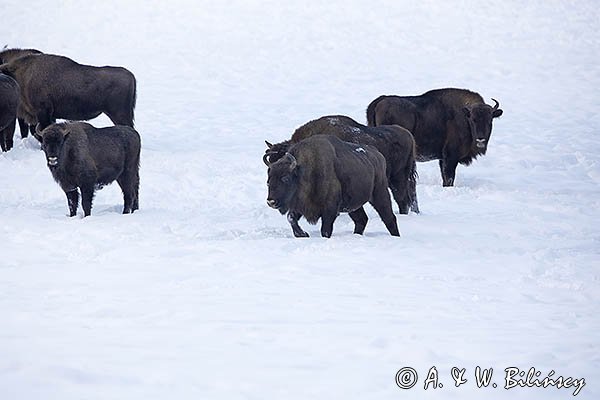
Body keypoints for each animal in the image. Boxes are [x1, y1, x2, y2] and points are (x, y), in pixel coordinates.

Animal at [265, 134, 400, 238]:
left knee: (389, 218)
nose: (271, 201)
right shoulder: (300, 206)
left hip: (379, 194)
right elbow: (291, 218)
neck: (304, 171)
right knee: (362, 219)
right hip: (353, 205)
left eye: (285, 178)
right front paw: (302, 234)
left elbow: (325, 230)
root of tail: (378, 155)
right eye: (268, 180)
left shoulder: (330, 209)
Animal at [366, 88, 503, 186]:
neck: (464, 116)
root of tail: (379, 102)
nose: (481, 138)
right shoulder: (450, 157)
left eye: (490, 121)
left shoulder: (442, 159)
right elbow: (449, 177)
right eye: (473, 120)